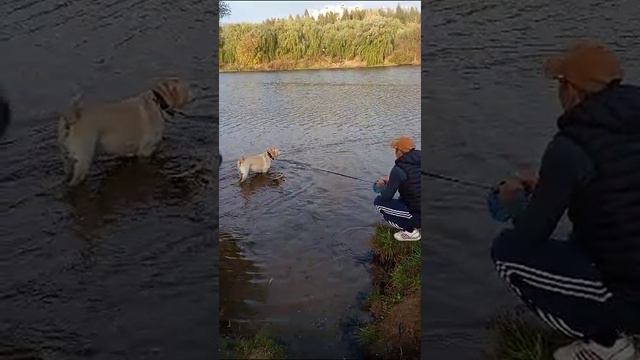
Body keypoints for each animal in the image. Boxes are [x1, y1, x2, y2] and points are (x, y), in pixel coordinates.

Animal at [58, 78, 190, 186]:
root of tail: (71, 118)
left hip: (68, 159)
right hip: (83, 159)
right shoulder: (145, 151)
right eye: (186, 89)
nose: (192, 93)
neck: (157, 102)